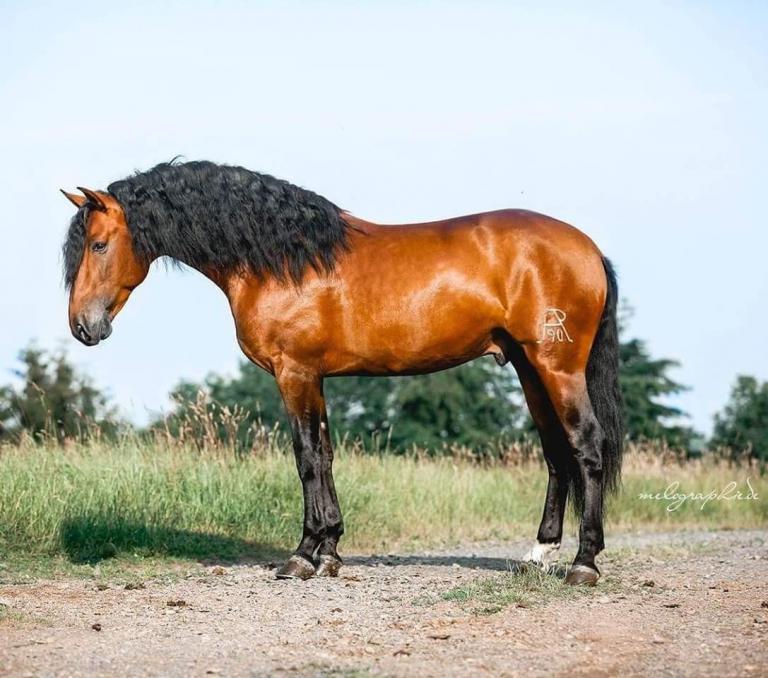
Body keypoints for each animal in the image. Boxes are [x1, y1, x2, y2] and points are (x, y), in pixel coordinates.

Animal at [61, 160, 623, 586]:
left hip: (557, 368)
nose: (83, 326)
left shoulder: (294, 374)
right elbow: (326, 454)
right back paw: (539, 555)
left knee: (586, 447)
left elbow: (307, 457)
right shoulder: (315, 378)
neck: (282, 259)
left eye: (98, 245)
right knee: (556, 453)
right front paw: (329, 551)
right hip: (529, 368)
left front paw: (302, 555)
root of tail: (590, 249)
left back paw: (583, 564)